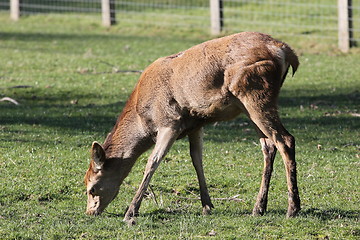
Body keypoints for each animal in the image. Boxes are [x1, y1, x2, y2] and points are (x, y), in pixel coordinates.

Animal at [84, 31, 300, 225]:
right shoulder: (195, 125)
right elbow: (197, 160)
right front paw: (207, 205)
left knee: (286, 140)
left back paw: (293, 209)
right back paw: (259, 208)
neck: (144, 120)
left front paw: (130, 212)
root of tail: (285, 51)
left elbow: (152, 162)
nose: (90, 212)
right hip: (248, 105)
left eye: (91, 188)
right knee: (268, 146)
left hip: (255, 93)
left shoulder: (170, 122)